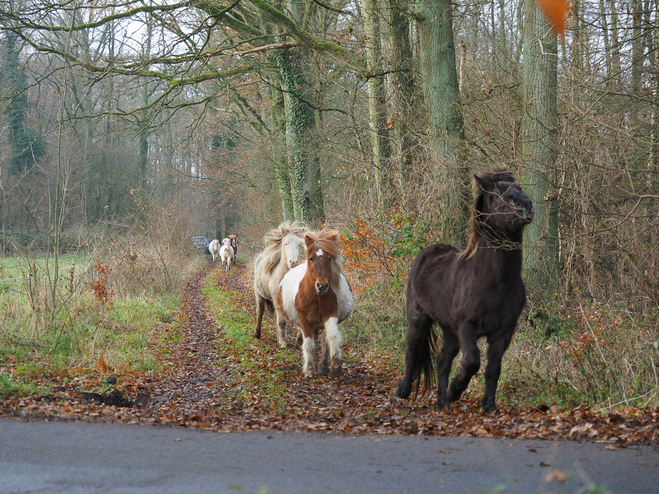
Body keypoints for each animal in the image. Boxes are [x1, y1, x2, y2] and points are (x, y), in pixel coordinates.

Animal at [276, 230, 354, 376]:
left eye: (329, 258)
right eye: (311, 258)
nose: (322, 286)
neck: (317, 297)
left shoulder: (331, 315)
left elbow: (332, 337)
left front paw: (336, 366)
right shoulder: (304, 320)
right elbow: (309, 345)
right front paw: (309, 370)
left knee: (325, 342)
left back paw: (323, 367)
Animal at [394, 168, 532, 412]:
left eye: (520, 189)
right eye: (497, 194)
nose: (526, 207)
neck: (497, 281)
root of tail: (425, 254)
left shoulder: (503, 331)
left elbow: (493, 369)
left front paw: (489, 406)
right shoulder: (467, 327)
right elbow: (472, 362)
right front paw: (455, 390)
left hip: (450, 331)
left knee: (442, 361)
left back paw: (442, 403)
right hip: (419, 318)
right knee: (411, 351)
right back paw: (404, 391)